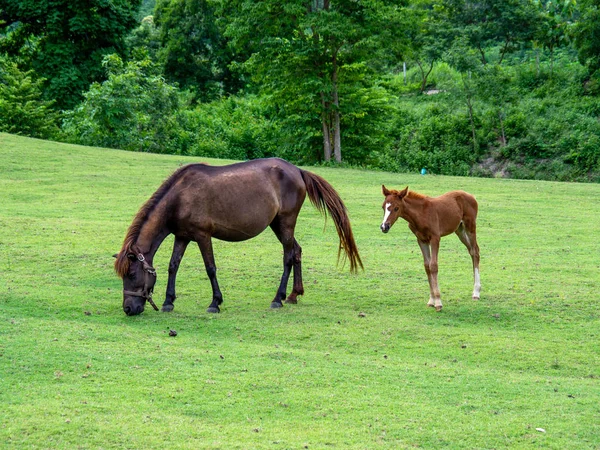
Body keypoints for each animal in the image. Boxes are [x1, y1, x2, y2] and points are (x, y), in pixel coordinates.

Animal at [115, 158, 364, 316]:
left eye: (132, 274)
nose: (128, 309)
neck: (180, 196)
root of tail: (298, 171)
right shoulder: (182, 236)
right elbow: (173, 266)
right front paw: (168, 302)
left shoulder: (203, 236)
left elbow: (210, 268)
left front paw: (215, 302)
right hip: (278, 225)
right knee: (297, 251)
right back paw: (294, 294)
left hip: (285, 224)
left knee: (288, 256)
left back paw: (278, 298)